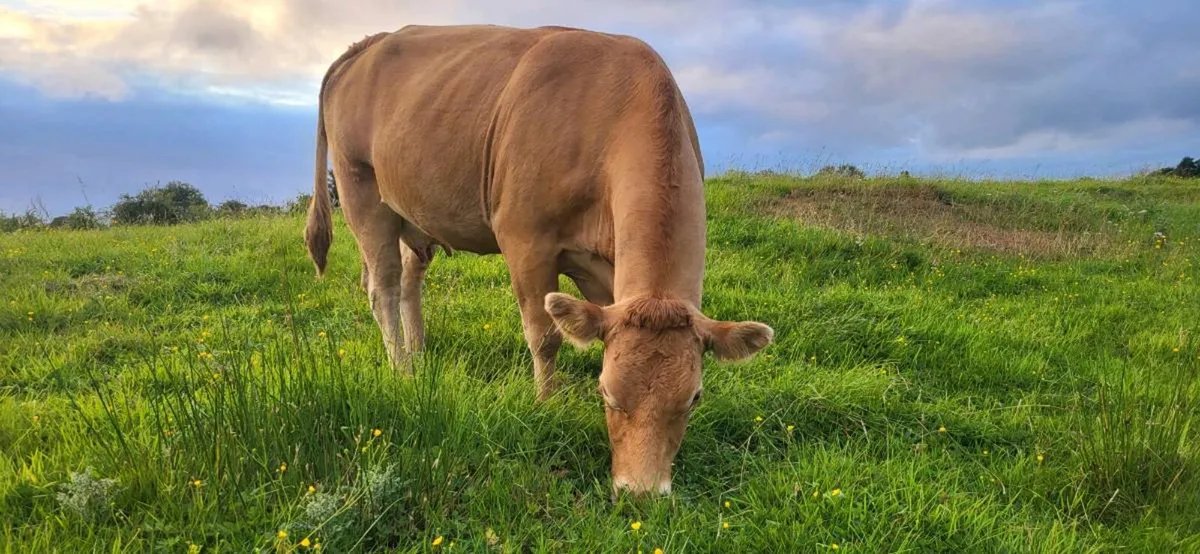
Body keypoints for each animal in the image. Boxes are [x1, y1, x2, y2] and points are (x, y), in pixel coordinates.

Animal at [304, 24, 774, 496]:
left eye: (694, 397)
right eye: (606, 392)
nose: (641, 493)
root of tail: (370, 42)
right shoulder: (526, 240)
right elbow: (545, 336)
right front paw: (547, 404)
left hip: (412, 211)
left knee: (408, 279)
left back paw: (419, 353)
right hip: (361, 191)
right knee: (381, 286)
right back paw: (402, 369)